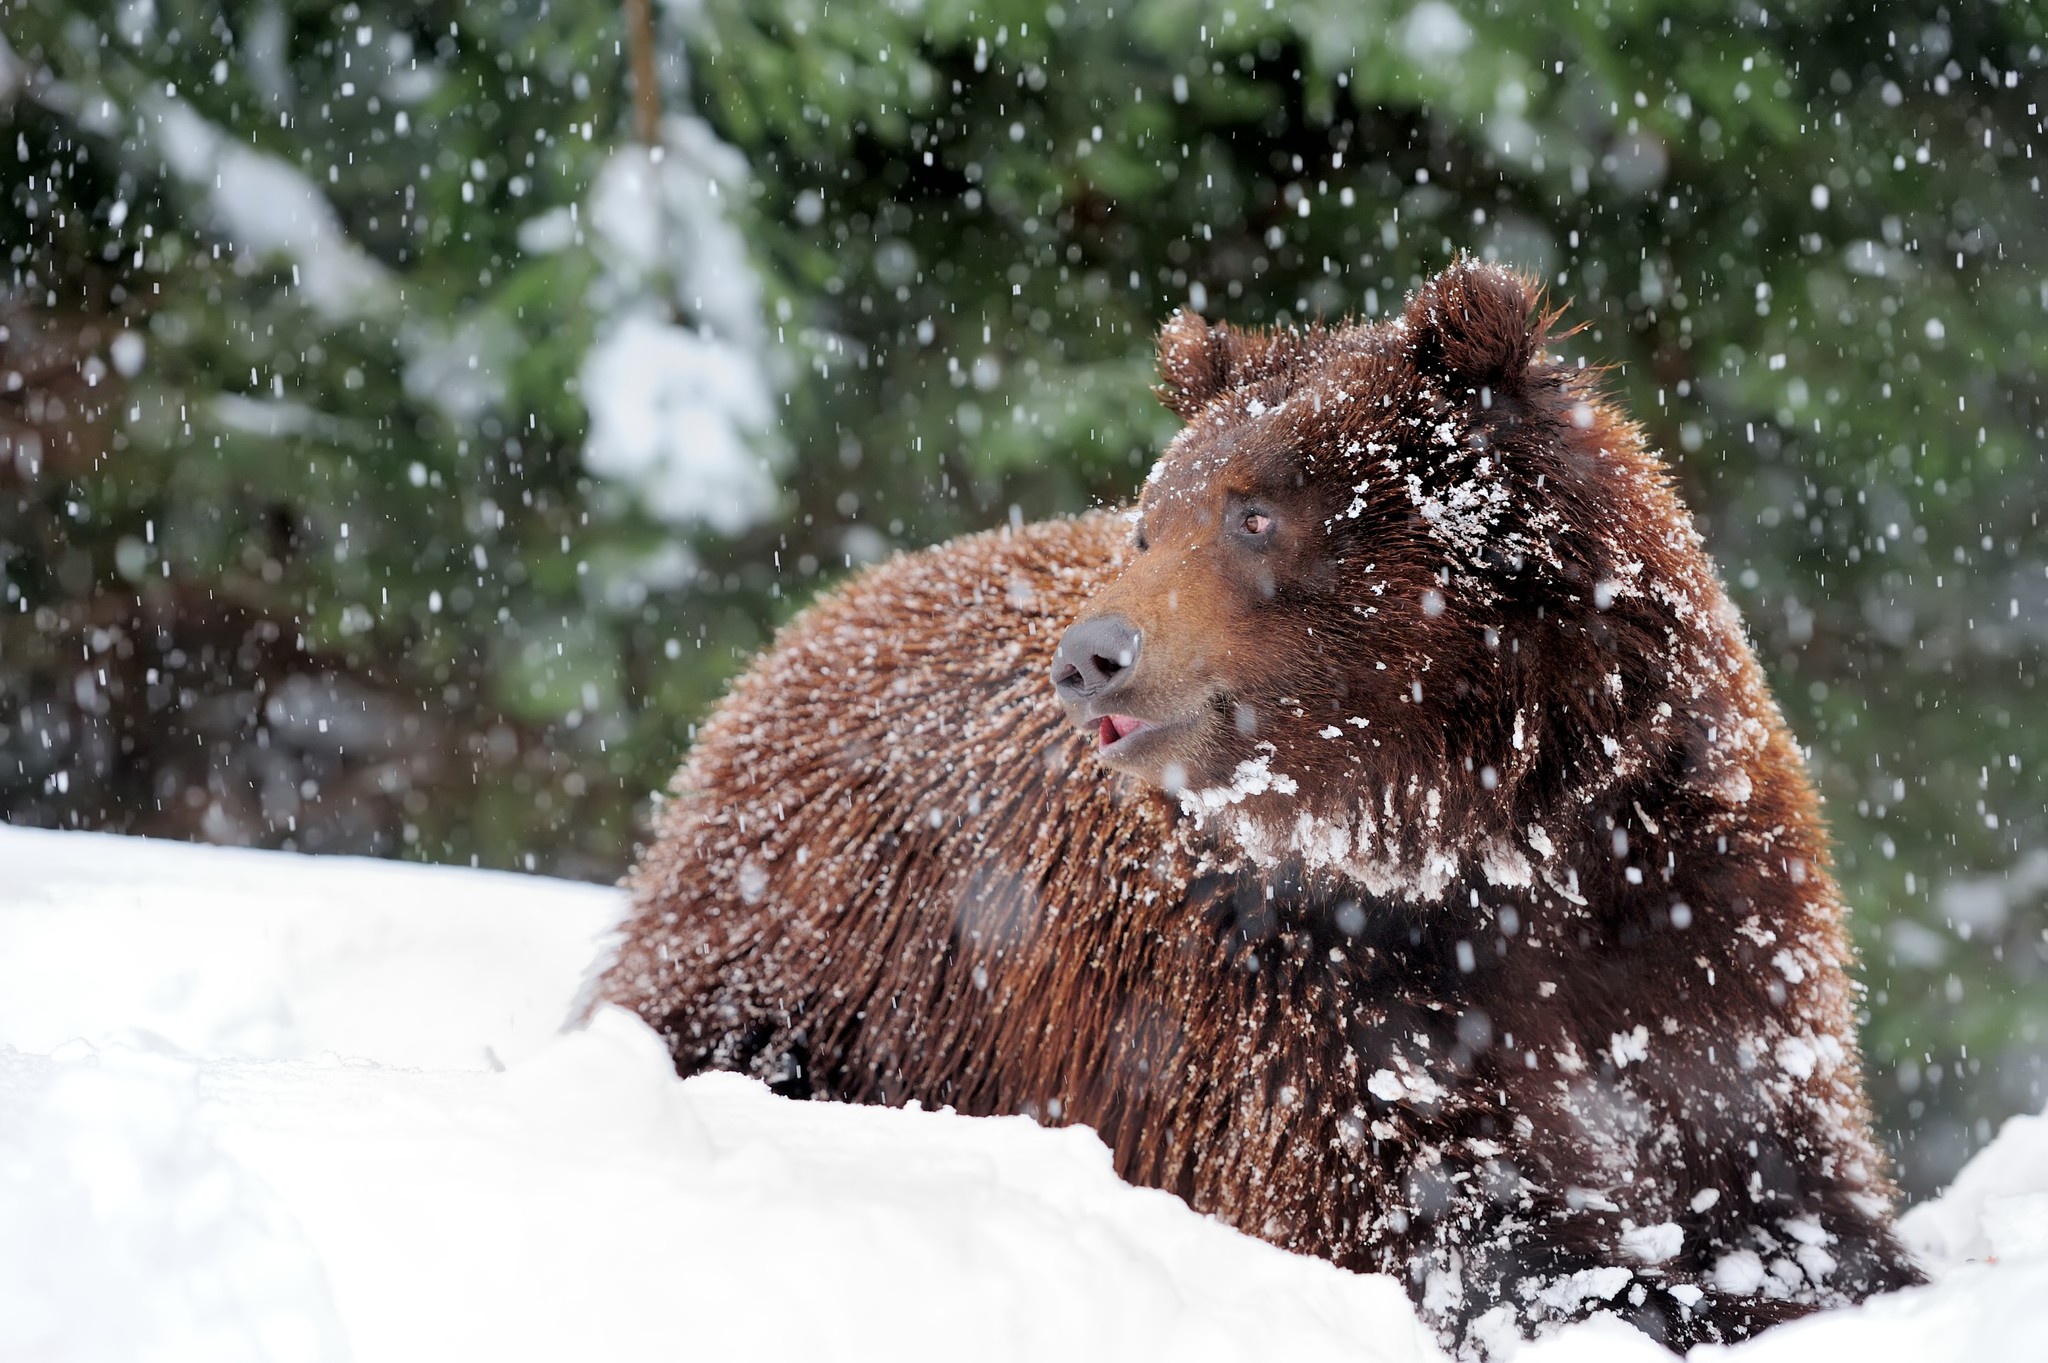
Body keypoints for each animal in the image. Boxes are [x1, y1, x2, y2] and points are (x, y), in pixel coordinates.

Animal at [598, 257, 1916, 1350]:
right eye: (1151, 518)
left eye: (1255, 511)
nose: (1089, 656)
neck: (1477, 838)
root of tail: (807, 626)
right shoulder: (1291, 1000)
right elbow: (1443, 1221)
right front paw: (1632, 1285)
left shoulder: (1695, 925)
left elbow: (1781, 1186)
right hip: (831, 942)